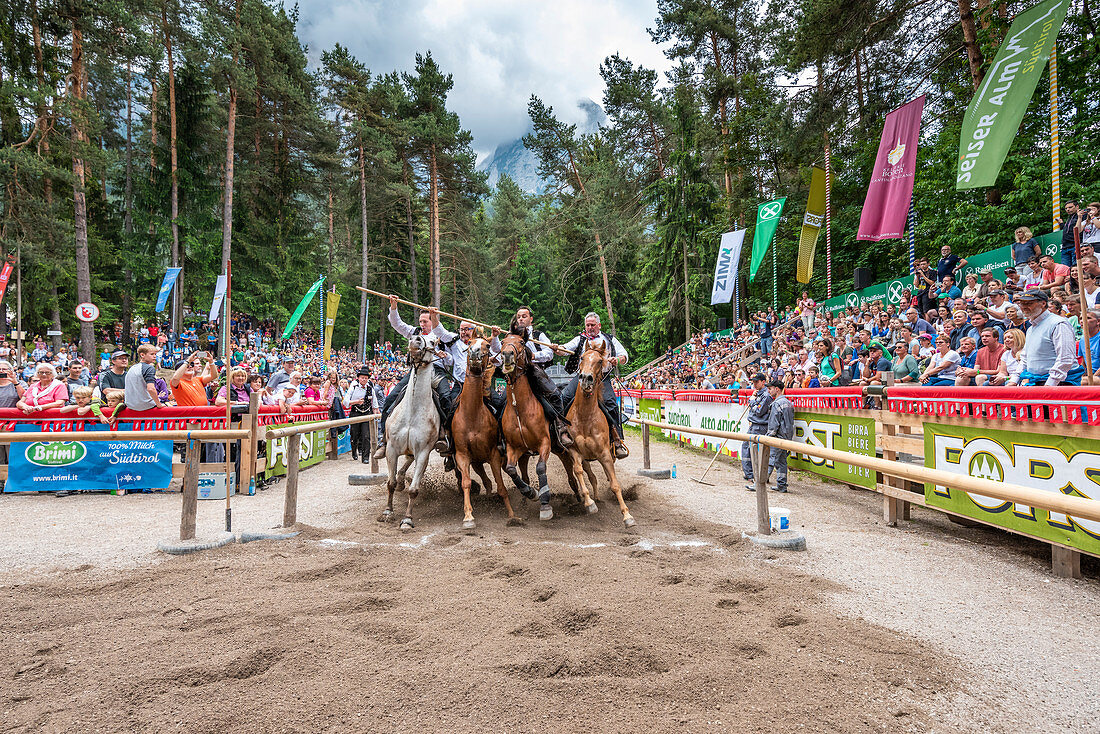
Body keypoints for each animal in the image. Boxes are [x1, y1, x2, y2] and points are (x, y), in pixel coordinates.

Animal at [382, 334, 442, 534]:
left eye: (433, 342)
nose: (415, 339)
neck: (412, 411)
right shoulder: (391, 449)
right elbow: (390, 483)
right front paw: (388, 511)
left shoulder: (423, 452)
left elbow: (414, 489)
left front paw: (407, 519)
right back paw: (401, 480)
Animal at [453, 336, 517, 530]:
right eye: (469, 343)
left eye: (487, 345)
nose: (474, 352)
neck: (472, 415)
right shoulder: (462, 454)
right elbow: (466, 482)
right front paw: (468, 516)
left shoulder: (494, 454)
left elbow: (502, 486)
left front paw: (512, 515)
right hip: (476, 461)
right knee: (485, 480)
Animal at [499, 330, 594, 519]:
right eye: (503, 341)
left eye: (521, 342)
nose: (507, 354)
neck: (520, 409)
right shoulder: (514, 447)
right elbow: (511, 470)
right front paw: (531, 493)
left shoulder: (545, 443)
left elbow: (541, 468)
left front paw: (545, 505)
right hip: (539, 453)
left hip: (561, 449)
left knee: (573, 474)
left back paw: (581, 497)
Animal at [567, 338, 638, 528]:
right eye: (582, 357)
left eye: (600, 361)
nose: (586, 378)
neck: (585, 417)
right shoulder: (575, 452)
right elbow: (579, 472)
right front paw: (589, 502)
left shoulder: (605, 454)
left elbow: (615, 484)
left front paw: (627, 516)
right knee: (591, 476)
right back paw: (596, 497)